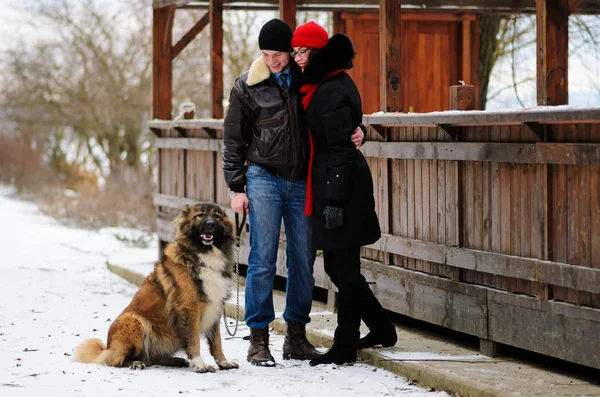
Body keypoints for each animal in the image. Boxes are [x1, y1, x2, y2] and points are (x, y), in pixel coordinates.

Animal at [72, 203, 237, 372]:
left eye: (217, 216)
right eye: (200, 215)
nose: (210, 224)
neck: (204, 254)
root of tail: (108, 347)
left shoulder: (215, 308)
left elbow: (217, 341)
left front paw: (223, 362)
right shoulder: (189, 309)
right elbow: (194, 340)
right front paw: (200, 364)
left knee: (152, 359)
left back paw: (174, 360)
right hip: (133, 321)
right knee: (117, 360)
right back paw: (136, 363)